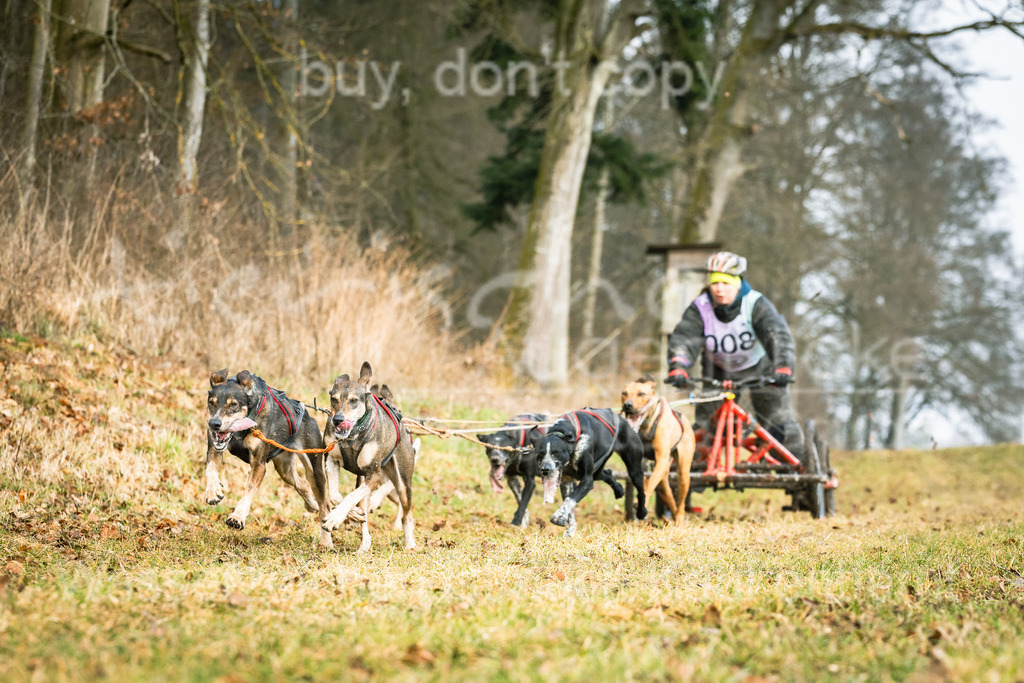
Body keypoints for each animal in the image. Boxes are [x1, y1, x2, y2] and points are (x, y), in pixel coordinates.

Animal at [202, 370, 321, 532]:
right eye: (211, 403)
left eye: (233, 404)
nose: (214, 423)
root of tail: (309, 416)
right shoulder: (215, 448)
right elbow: (210, 469)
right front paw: (212, 491)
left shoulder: (259, 465)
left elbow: (248, 491)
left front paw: (237, 517)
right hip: (284, 469)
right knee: (302, 485)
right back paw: (312, 505)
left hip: (314, 466)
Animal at [614, 376, 696, 528]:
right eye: (624, 393)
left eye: (641, 394)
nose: (627, 405)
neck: (645, 426)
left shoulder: (661, 459)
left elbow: (650, 484)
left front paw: (642, 502)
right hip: (664, 475)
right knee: (668, 494)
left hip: (682, 473)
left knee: (680, 501)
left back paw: (679, 519)